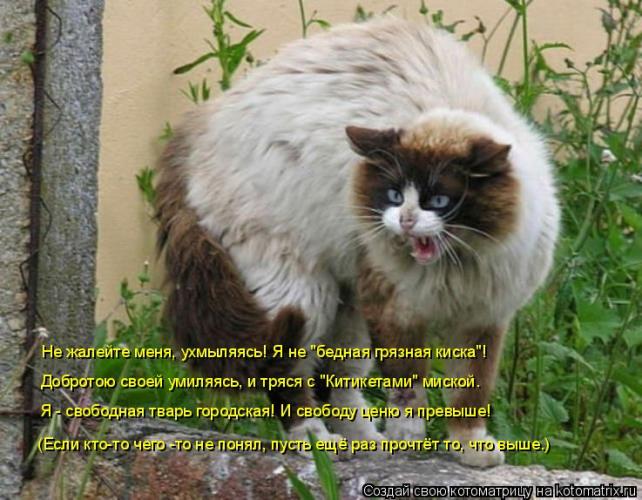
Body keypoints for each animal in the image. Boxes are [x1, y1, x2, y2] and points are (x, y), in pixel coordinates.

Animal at [155, 16, 559, 467]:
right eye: (394, 195)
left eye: (439, 201)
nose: (405, 221)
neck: (454, 264)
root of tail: (200, 125)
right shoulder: (395, 309)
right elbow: (409, 389)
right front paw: (409, 440)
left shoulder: (482, 318)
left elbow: (470, 394)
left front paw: (470, 449)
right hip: (305, 292)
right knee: (287, 376)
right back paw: (317, 445)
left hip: (347, 307)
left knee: (337, 381)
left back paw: (364, 444)